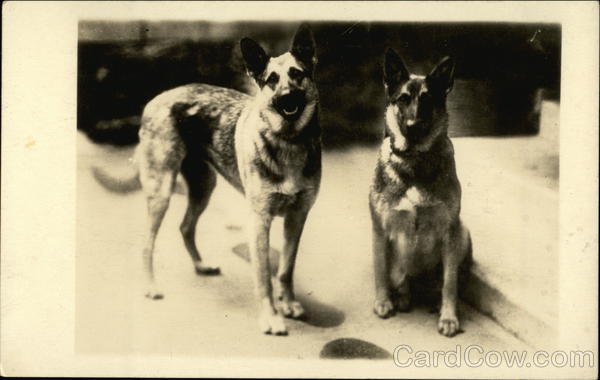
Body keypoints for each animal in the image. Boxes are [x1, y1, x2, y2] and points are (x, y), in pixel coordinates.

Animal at [138, 26, 322, 336]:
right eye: (271, 80)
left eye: (297, 74)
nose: (287, 97)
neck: (288, 141)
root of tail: (157, 98)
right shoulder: (259, 222)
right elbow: (264, 275)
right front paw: (271, 317)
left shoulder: (297, 218)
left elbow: (286, 269)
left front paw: (288, 304)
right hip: (161, 192)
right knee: (147, 243)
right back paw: (150, 285)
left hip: (204, 187)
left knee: (186, 226)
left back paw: (201, 265)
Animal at [370, 49, 474, 336]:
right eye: (403, 99)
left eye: (428, 99)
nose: (413, 124)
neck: (415, 161)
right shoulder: (380, 229)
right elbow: (380, 270)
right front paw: (383, 302)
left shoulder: (450, 231)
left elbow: (449, 283)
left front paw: (448, 317)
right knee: (399, 279)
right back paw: (402, 297)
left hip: (463, 234)